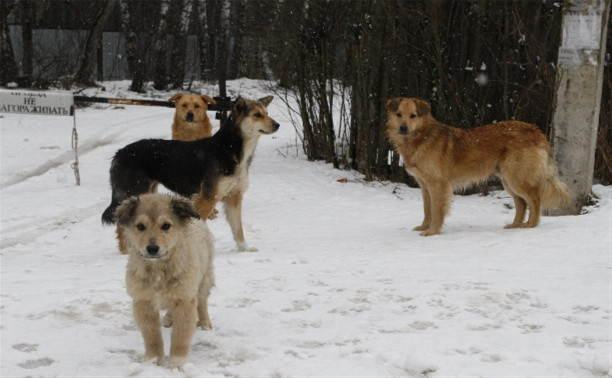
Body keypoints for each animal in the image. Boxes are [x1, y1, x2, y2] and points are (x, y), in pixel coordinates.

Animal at [103, 96, 280, 252]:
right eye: (257, 115)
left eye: (267, 113)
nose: (277, 125)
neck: (230, 149)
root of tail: (119, 153)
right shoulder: (206, 198)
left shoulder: (234, 197)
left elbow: (238, 229)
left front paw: (244, 249)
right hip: (134, 191)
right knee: (121, 226)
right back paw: (126, 251)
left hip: (147, 192)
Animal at [388, 96, 568, 236]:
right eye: (399, 115)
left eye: (413, 116)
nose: (403, 128)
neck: (421, 137)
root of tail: (535, 130)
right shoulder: (425, 185)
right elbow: (427, 209)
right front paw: (424, 227)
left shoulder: (438, 184)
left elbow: (437, 210)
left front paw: (432, 232)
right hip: (508, 181)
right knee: (522, 204)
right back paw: (514, 226)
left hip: (518, 179)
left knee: (535, 200)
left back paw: (530, 225)